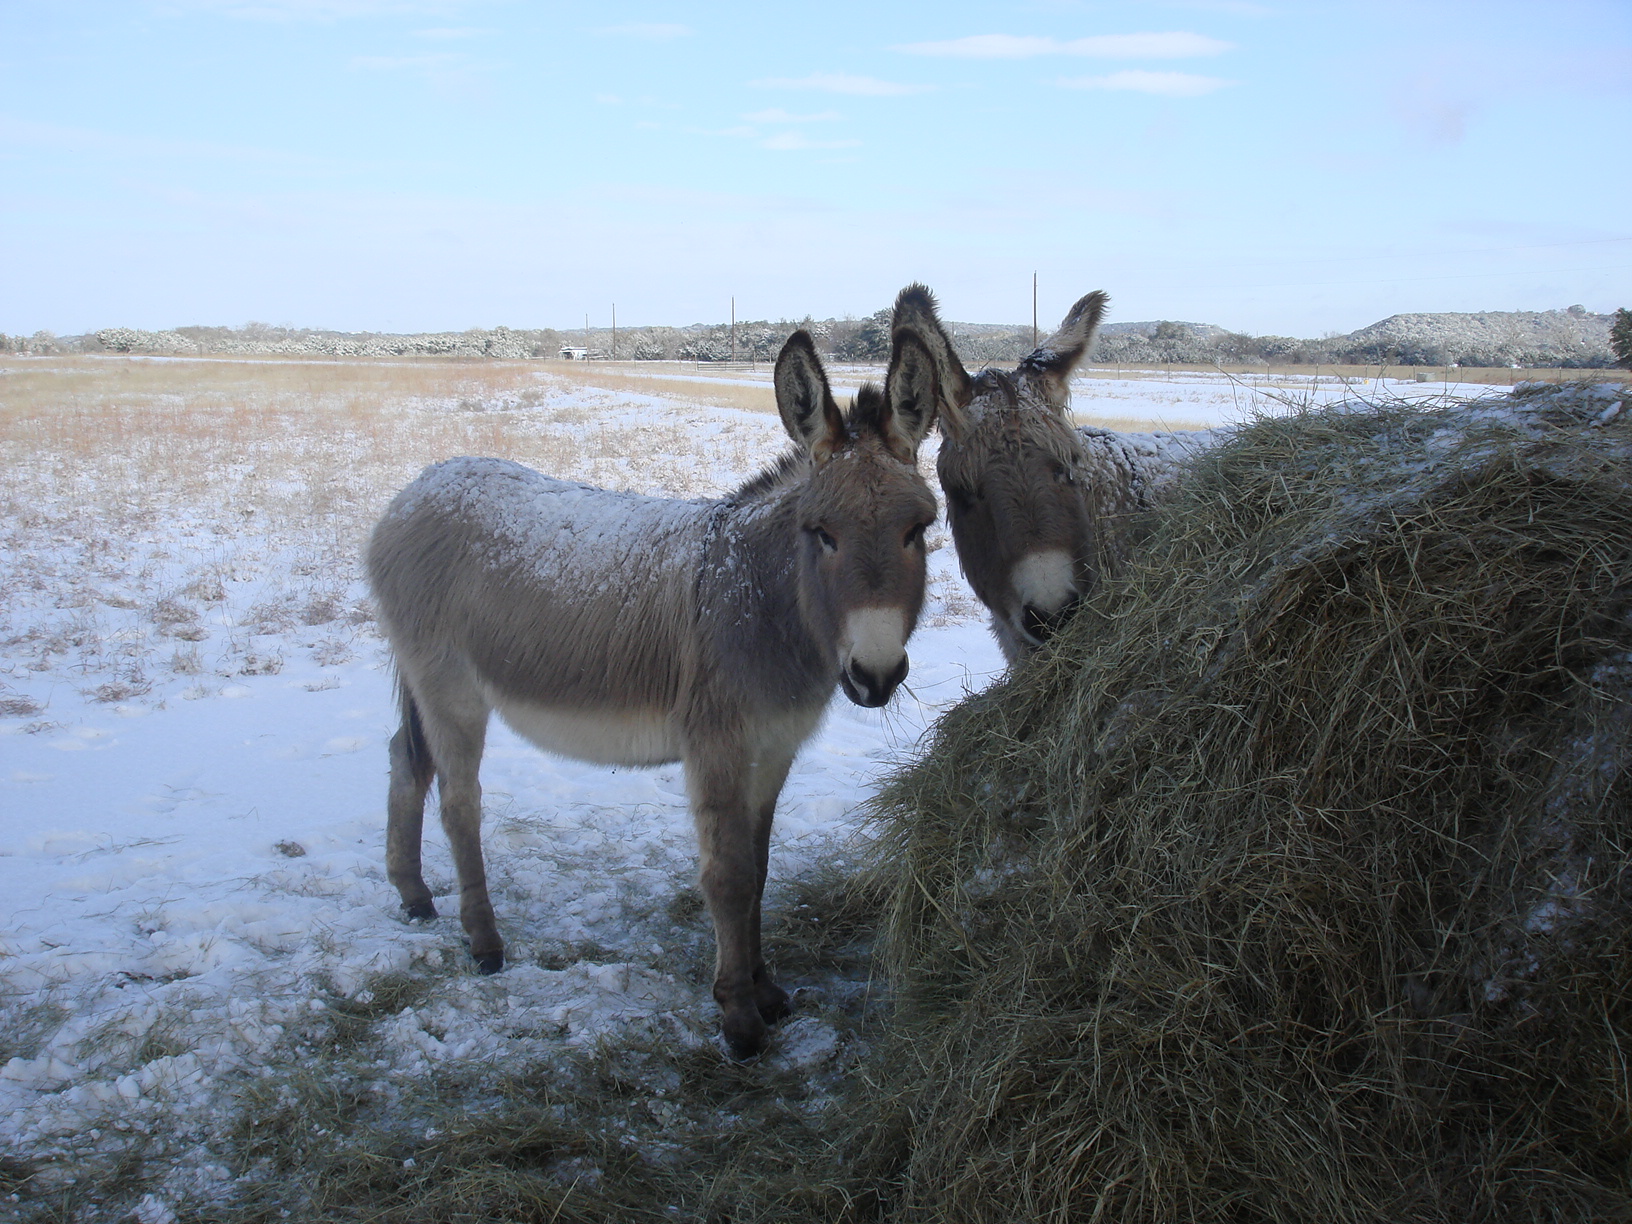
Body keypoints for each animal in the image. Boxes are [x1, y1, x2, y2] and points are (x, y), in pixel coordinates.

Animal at [365, 320, 942, 1057]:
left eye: (918, 530)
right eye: (822, 534)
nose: (875, 675)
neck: (763, 598)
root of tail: (414, 490)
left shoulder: (773, 751)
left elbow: (759, 869)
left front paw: (767, 990)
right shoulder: (717, 744)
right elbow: (729, 877)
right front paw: (739, 1017)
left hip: (421, 678)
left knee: (406, 761)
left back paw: (413, 895)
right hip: (451, 687)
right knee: (459, 801)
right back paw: (485, 941)